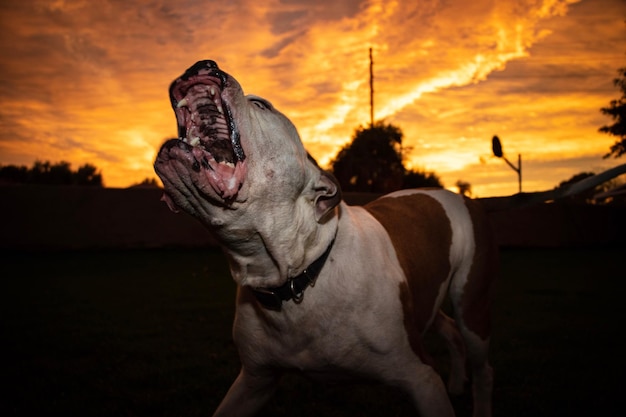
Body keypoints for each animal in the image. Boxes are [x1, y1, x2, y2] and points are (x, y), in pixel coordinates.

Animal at [154, 59, 494, 416]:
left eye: (261, 105)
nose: (202, 63)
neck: (297, 274)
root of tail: (459, 196)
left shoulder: (421, 377)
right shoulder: (255, 381)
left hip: (473, 306)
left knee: (483, 366)